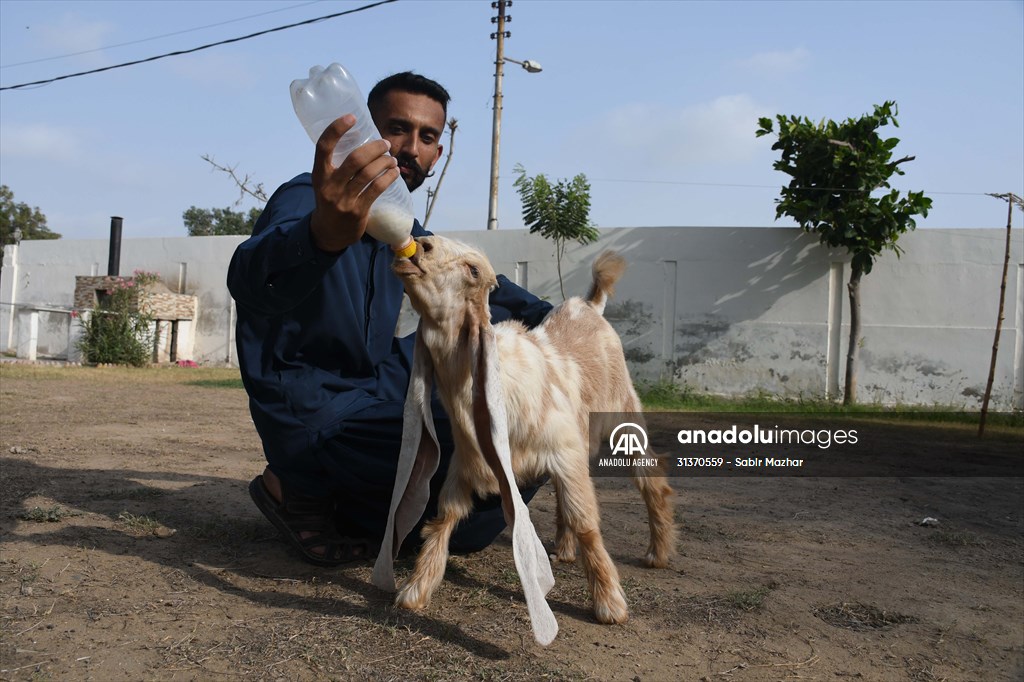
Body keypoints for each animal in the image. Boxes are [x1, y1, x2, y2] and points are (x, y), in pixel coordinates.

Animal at [372, 235, 675, 638]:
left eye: (473, 269)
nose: (420, 244)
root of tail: (590, 305)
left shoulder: (563, 451)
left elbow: (586, 521)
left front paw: (610, 603)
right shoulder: (467, 462)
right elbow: (445, 516)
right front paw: (417, 586)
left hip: (622, 412)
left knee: (649, 475)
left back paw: (658, 552)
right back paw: (564, 549)